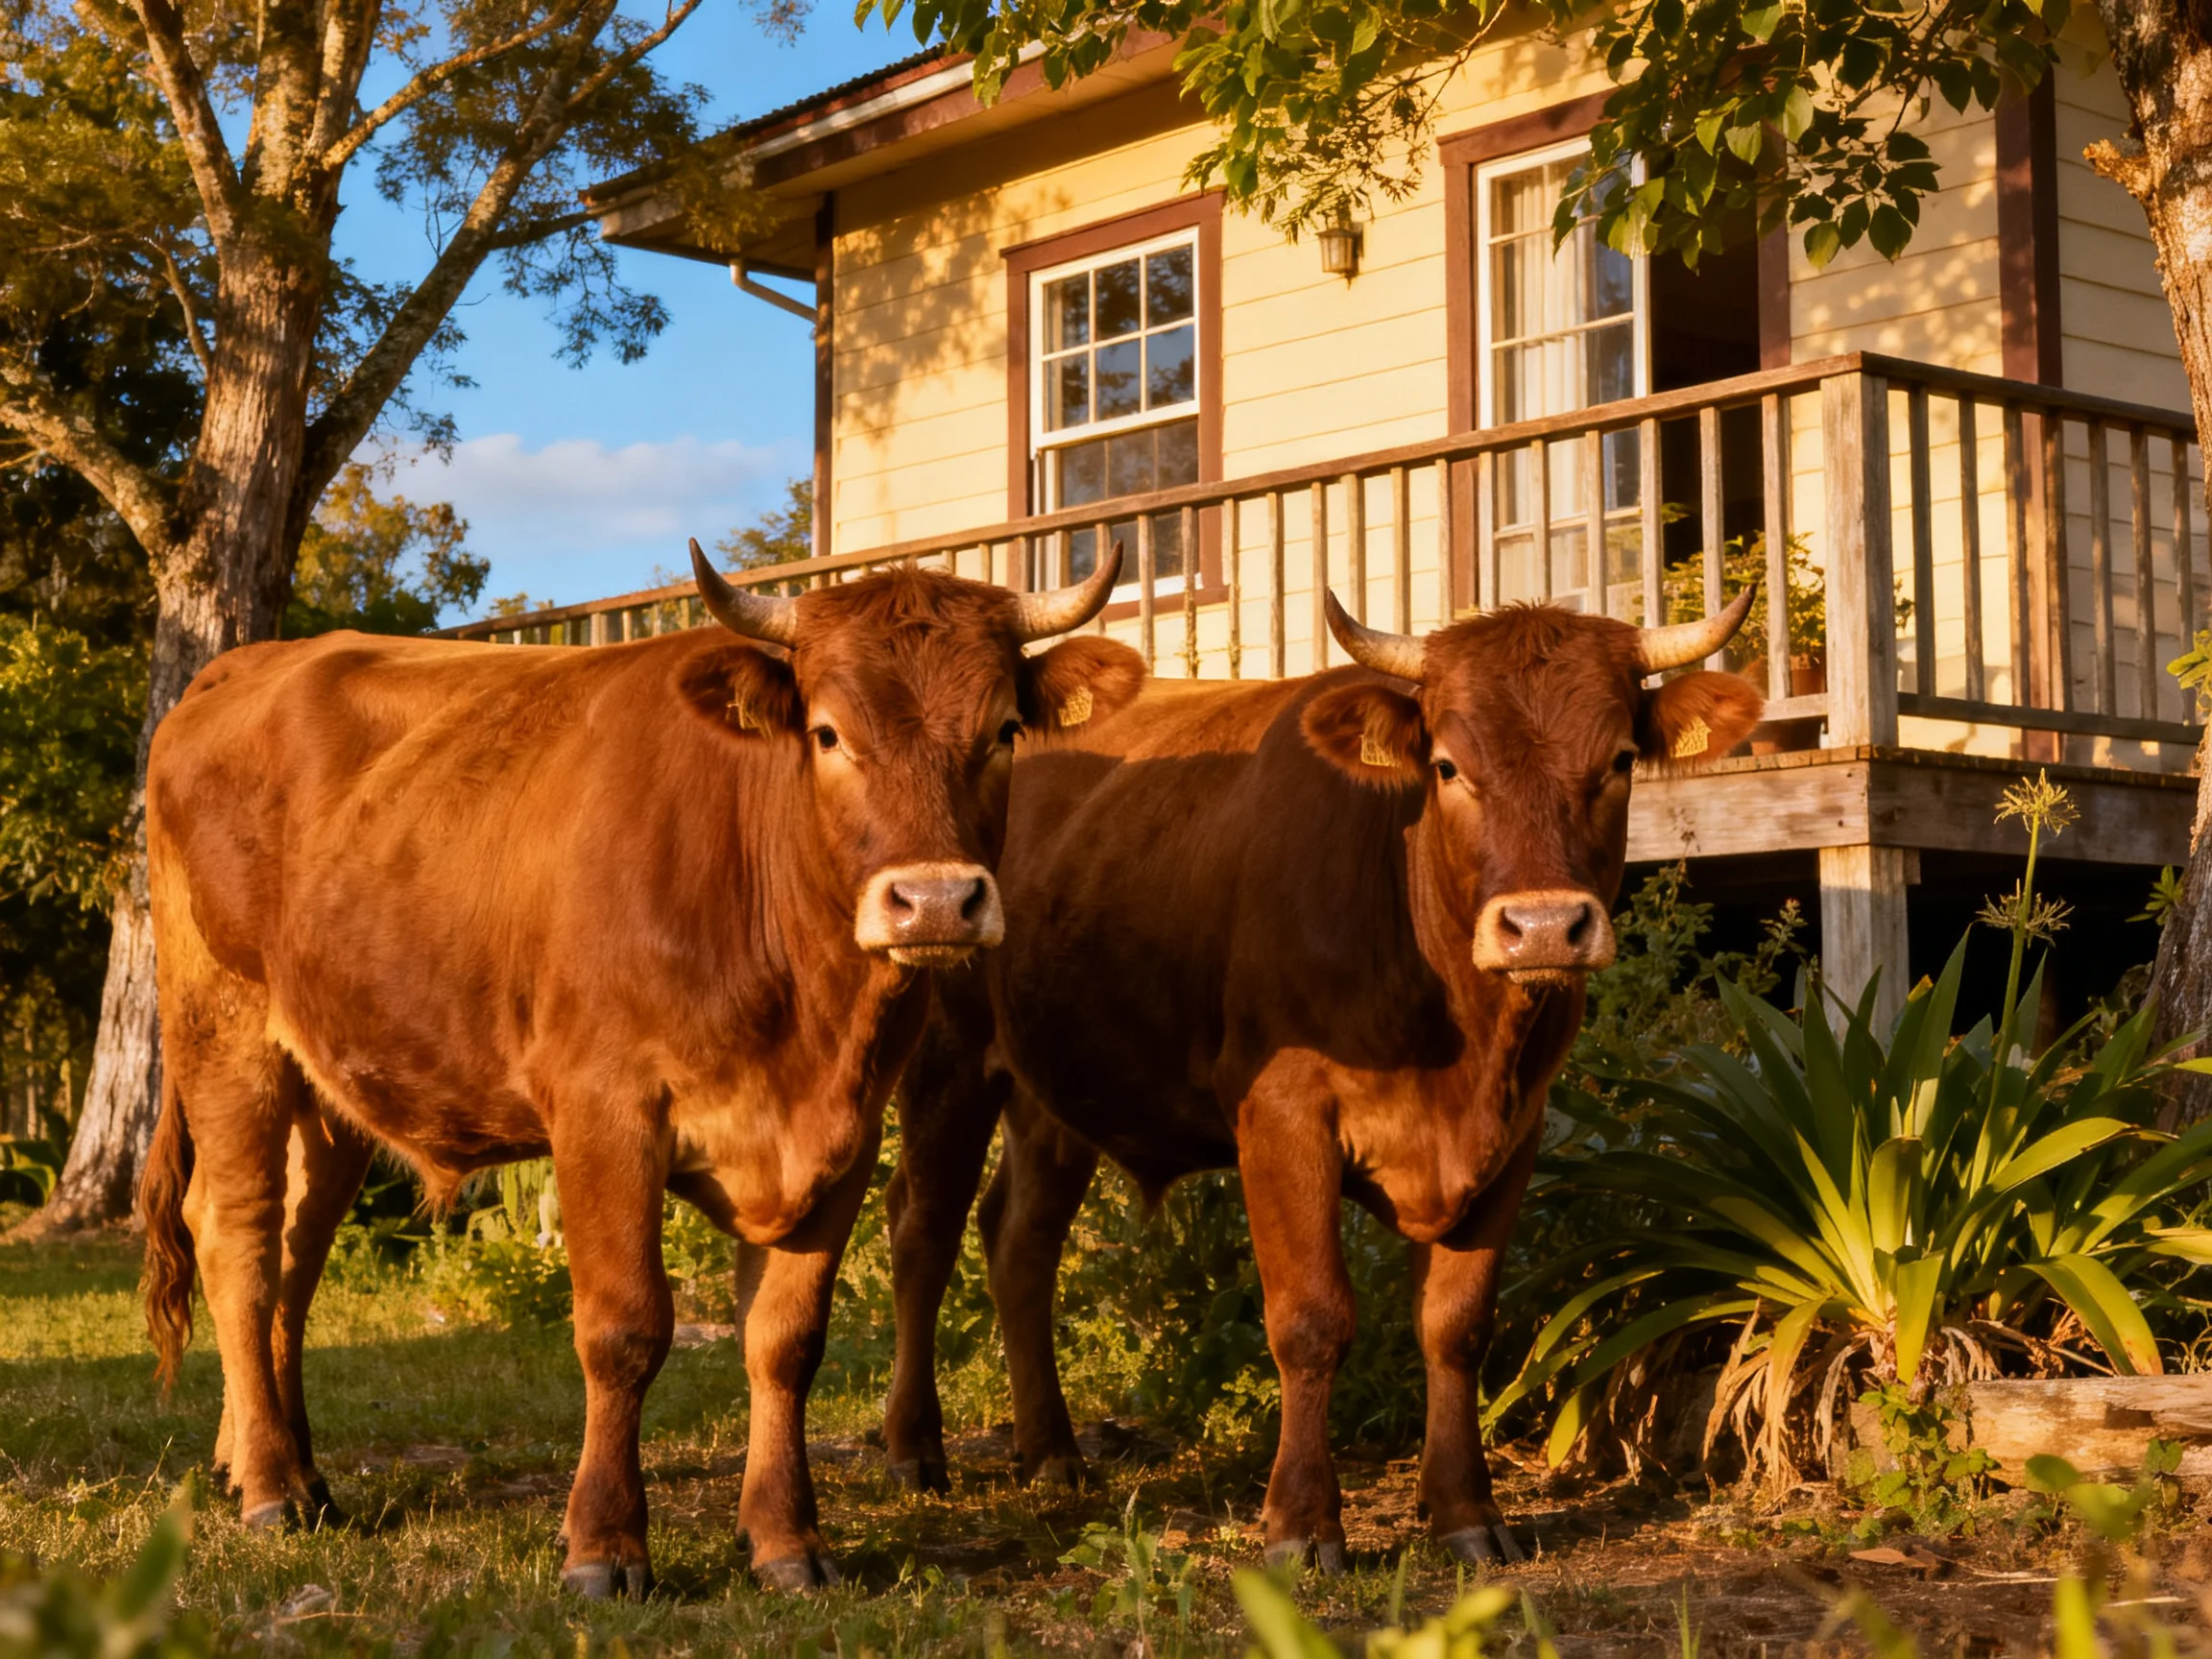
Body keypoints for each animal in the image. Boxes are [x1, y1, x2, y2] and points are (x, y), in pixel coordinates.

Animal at [137, 544, 1144, 1596]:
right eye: (828, 732)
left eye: (1002, 730)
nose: (937, 900)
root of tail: (245, 665)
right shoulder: (604, 1112)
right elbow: (624, 1329)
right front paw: (605, 1545)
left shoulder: (845, 1134)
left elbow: (785, 1339)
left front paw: (786, 1538)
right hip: (224, 1030)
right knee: (239, 1242)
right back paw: (268, 1489)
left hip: (329, 1084)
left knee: (294, 1256)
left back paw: (285, 1468)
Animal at [879, 589, 1763, 1568]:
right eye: (1448, 766)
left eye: (1617, 760)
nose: (1542, 928)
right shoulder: (1282, 1116)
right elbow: (1310, 1319)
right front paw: (1303, 1524)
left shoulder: (1515, 1132)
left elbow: (1457, 1325)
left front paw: (1466, 1512)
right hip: (947, 1056)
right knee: (922, 1228)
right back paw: (914, 1449)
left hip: (1056, 1090)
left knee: (1019, 1243)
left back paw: (1053, 1453)